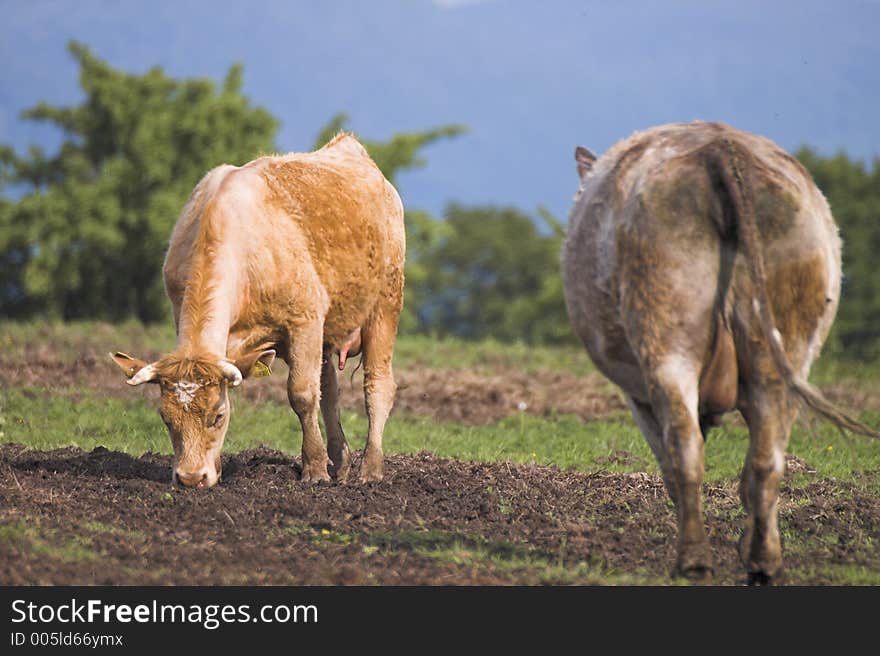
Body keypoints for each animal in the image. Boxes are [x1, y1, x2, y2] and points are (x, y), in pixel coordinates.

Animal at [109, 132, 406, 486]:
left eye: (218, 416)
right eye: (166, 419)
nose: (191, 478)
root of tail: (347, 146)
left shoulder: (305, 319)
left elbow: (302, 394)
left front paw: (315, 470)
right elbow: (317, 392)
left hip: (386, 301)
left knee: (377, 385)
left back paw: (370, 469)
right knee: (330, 391)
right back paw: (341, 462)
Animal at [560, 120, 876, 580]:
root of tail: (719, 148)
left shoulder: (638, 397)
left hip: (666, 338)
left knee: (685, 449)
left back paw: (693, 560)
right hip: (787, 349)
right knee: (767, 458)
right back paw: (763, 560)